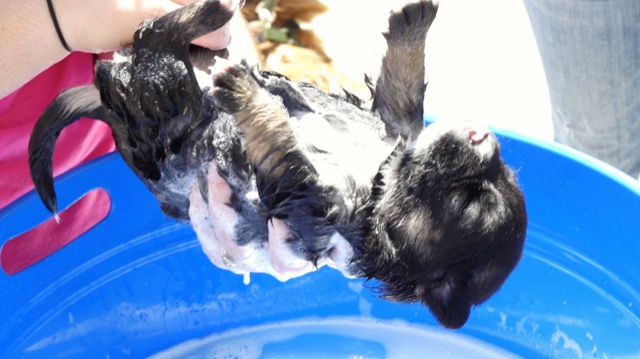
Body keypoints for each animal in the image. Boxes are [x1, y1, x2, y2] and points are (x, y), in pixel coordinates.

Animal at [27, 0, 528, 330]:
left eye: (475, 202)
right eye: (504, 173)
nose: (482, 135)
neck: (382, 182)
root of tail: (108, 107)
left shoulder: (309, 197)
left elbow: (279, 138)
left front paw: (245, 91)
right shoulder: (392, 125)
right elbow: (402, 94)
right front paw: (415, 21)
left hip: (164, 102)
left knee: (154, 38)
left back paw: (214, 17)